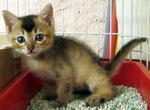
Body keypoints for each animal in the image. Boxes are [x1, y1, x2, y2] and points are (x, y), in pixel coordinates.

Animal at [2, 3, 148, 107]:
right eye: (20, 39)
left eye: (39, 37)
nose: (30, 48)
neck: (40, 58)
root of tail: (103, 68)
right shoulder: (47, 77)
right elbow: (50, 85)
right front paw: (49, 94)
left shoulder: (65, 74)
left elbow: (63, 89)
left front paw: (60, 102)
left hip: (93, 77)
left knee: (110, 90)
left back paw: (97, 97)